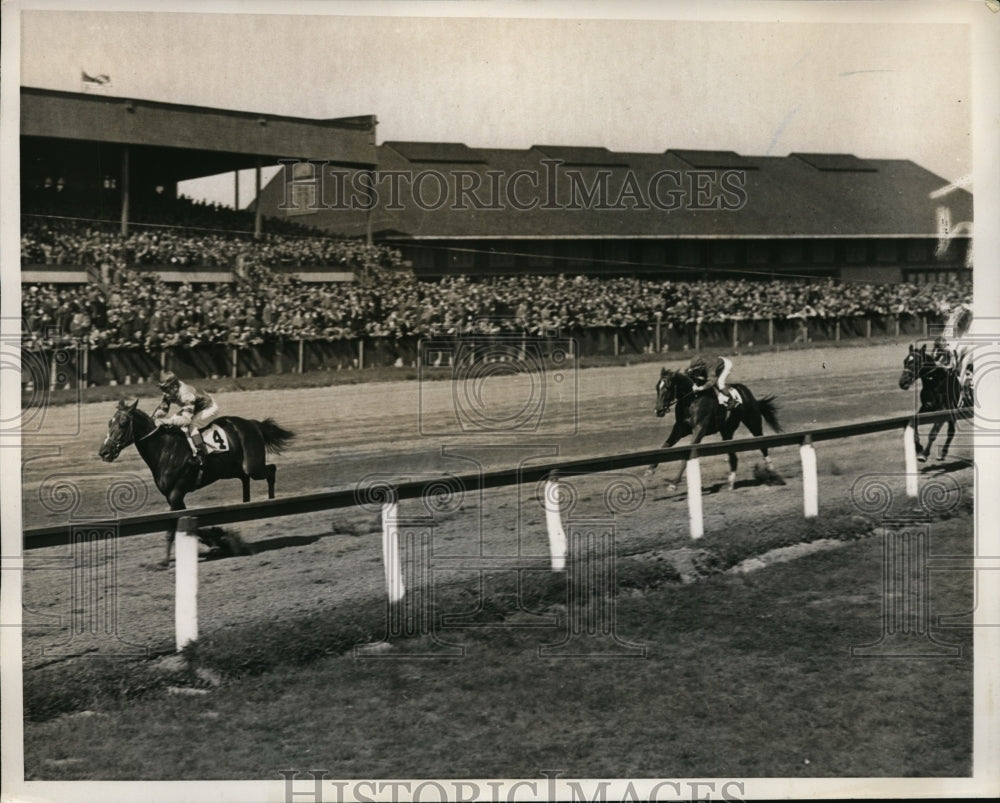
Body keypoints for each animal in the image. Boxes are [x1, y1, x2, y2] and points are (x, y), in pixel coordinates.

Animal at [99, 398, 294, 564]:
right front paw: (219, 538)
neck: (164, 449)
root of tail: (253, 423)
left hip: (253, 467)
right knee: (246, 479)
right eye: (109, 423)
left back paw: (270, 500)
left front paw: (164, 561)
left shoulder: (176, 493)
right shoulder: (174, 497)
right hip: (233, 469)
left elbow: (172, 528)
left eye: (123, 423)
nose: (104, 452)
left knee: (271, 470)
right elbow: (187, 524)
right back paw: (246, 502)